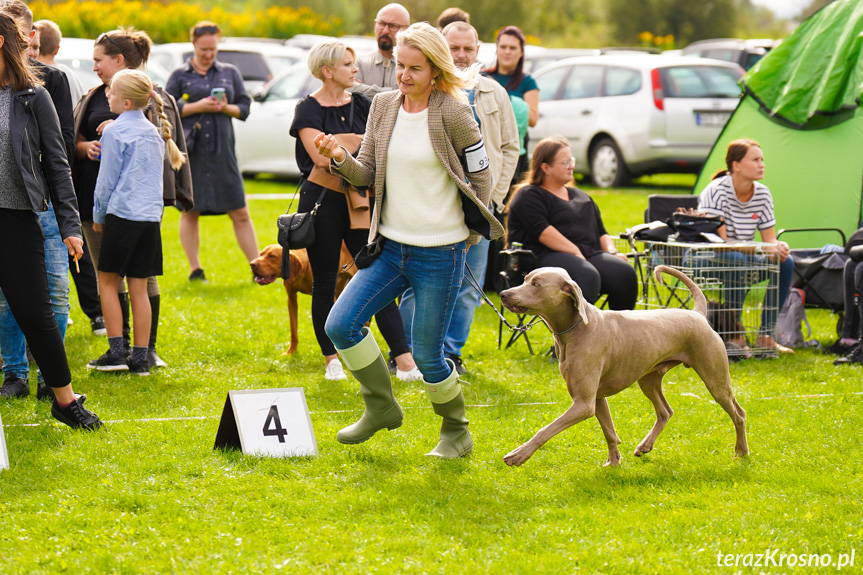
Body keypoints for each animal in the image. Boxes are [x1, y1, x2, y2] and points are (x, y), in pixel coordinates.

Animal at [500, 266, 748, 468]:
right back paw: (645, 446)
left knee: (739, 414)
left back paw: (741, 452)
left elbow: (546, 430)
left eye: (536, 285)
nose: (503, 294)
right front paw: (614, 462)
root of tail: (697, 314)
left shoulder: (583, 404)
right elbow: (609, 433)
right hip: (648, 379)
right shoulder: (597, 399)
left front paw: (519, 454)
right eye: (525, 279)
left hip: (715, 380)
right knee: (665, 411)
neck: (577, 327)